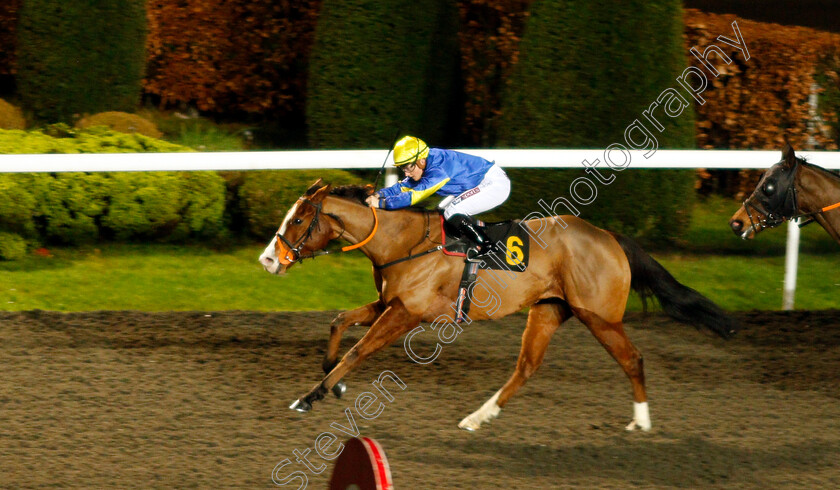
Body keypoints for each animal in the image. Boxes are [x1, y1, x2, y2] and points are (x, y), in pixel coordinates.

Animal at [258, 179, 736, 428]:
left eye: (298, 219)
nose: (268, 259)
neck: (402, 243)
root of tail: (609, 237)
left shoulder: (408, 313)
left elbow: (358, 351)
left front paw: (312, 395)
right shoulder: (388, 302)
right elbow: (339, 321)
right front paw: (331, 383)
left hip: (599, 316)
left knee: (633, 359)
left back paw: (642, 421)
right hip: (548, 310)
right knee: (526, 367)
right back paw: (477, 417)